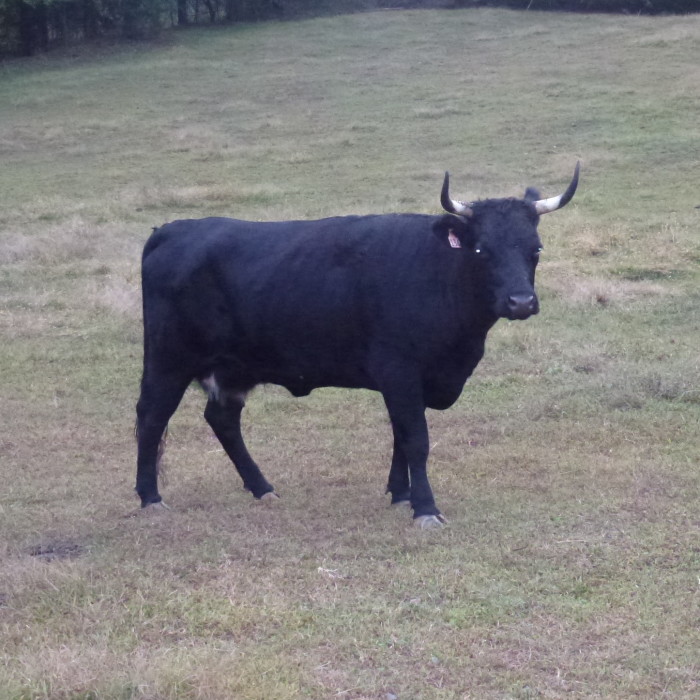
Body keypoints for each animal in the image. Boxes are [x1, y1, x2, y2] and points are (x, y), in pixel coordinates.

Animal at [135, 165, 580, 524]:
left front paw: (400, 494)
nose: (521, 302)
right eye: (481, 249)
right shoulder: (399, 371)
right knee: (151, 417)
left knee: (223, 420)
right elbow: (416, 439)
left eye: (535, 249)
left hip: (233, 368)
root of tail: (173, 229)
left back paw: (262, 488)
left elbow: (401, 435)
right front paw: (425, 508)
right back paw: (150, 498)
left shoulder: (413, 382)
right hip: (168, 359)